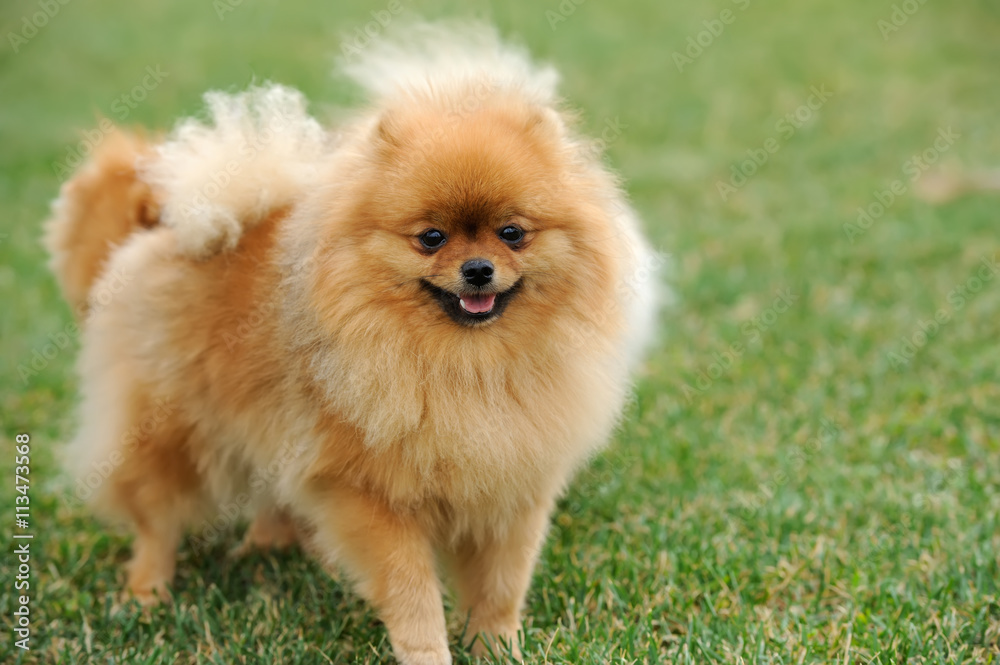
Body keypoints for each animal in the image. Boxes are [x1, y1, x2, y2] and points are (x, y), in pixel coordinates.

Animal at [47, 22, 660, 664]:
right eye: (431, 237)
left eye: (513, 233)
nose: (477, 270)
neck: (466, 365)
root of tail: (161, 227)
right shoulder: (371, 496)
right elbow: (413, 593)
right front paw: (429, 653)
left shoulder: (512, 488)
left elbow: (501, 585)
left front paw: (500, 648)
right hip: (169, 432)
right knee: (156, 518)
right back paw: (146, 593)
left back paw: (274, 548)